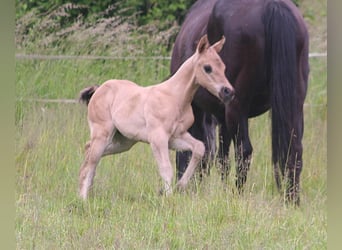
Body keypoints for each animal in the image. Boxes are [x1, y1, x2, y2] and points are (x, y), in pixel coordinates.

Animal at [171, 0, 310, 205]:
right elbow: (221, 158)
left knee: (244, 151)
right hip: (295, 105)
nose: (182, 189)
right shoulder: (222, 118)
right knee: (295, 150)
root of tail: (272, 5)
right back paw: (292, 200)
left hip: (237, 108)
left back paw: (237, 195)